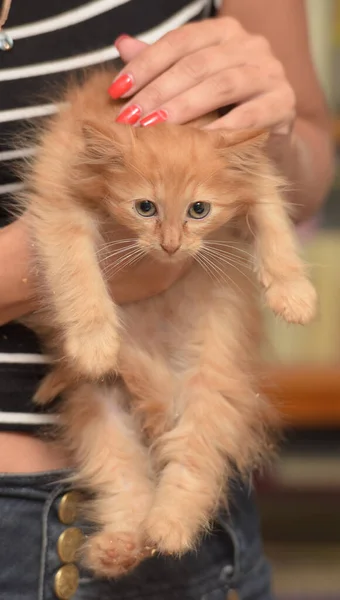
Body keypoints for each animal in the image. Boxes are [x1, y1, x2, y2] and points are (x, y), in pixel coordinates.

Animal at [18, 69, 316, 576]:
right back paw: (119, 546)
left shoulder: (258, 180)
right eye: (145, 208)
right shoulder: (58, 203)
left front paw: (294, 294)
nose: (172, 246)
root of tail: (155, 393)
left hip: (211, 387)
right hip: (101, 407)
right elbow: (77, 275)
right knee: (124, 480)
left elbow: (274, 224)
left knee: (192, 461)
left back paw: (169, 527)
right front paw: (93, 342)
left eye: (199, 210)